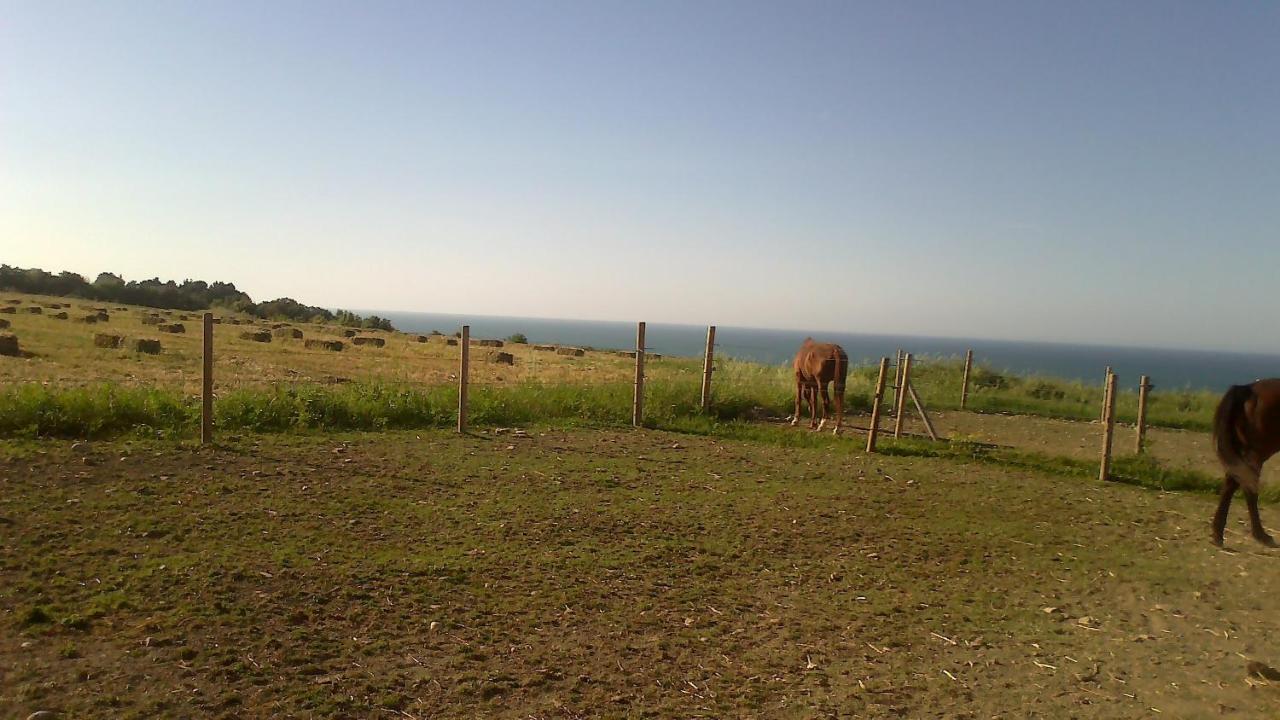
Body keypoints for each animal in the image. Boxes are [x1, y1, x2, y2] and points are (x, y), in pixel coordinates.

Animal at [1208, 376, 1280, 543]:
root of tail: (1247, 389)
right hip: (1257, 453)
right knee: (1248, 488)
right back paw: (1261, 535)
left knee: (1232, 482)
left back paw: (1218, 534)